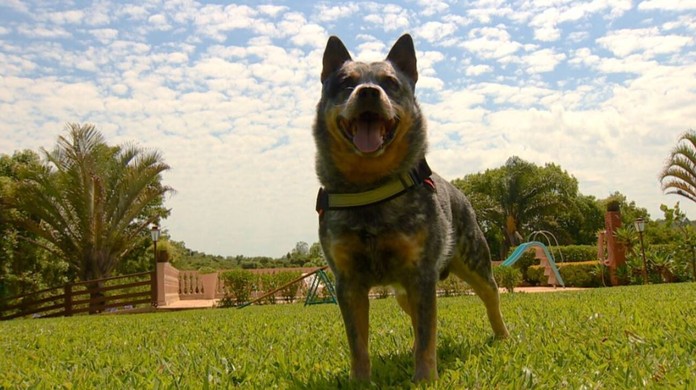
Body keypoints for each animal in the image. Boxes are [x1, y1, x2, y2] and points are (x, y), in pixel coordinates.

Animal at [312, 33, 508, 380]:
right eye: (346, 83)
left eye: (390, 83)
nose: (368, 91)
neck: (371, 187)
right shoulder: (348, 281)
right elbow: (358, 344)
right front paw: (360, 380)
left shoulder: (421, 273)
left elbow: (428, 335)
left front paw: (425, 378)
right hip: (404, 292)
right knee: (417, 319)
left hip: (474, 261)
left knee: (491, 296)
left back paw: (503, 336)